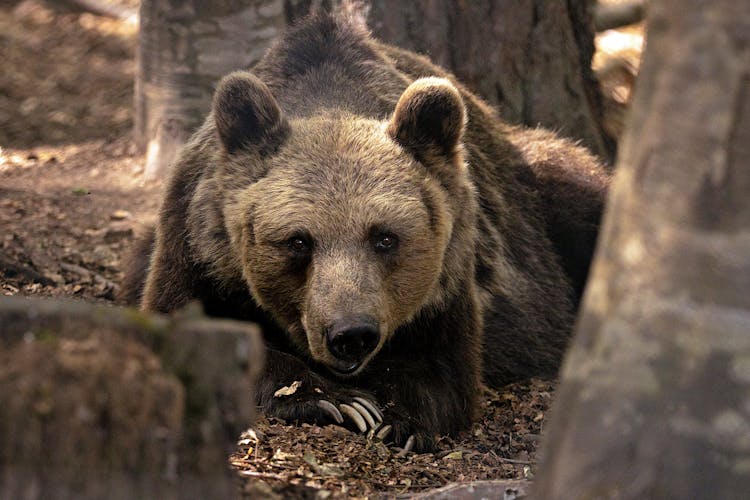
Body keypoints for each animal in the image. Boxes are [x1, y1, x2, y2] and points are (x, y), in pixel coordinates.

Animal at [123, 11, 612, 452]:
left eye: (385, 237)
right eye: (298, 241)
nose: (350, 334)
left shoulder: (451, 275)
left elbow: (442, 372)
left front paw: (395, 419)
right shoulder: (196, 247)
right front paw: (335, 400)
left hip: (545, 194)